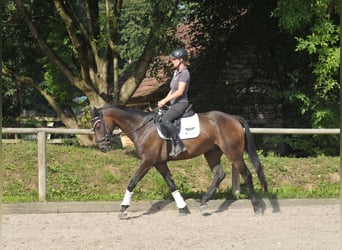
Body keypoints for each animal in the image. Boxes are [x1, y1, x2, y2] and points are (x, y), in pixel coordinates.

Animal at [90, 104, 268, 216]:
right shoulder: (159, 163)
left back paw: (256, 207)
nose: (103, 147)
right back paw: (203, 203)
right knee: (219, 175)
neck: (142, 127)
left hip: (234, 153)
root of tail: (232, 117)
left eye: (98, 126)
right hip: (212, 153)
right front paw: (183, 208)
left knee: (246, 174)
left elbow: (132, 181)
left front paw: (123, 208)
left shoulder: (148, 161)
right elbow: (171, 183)